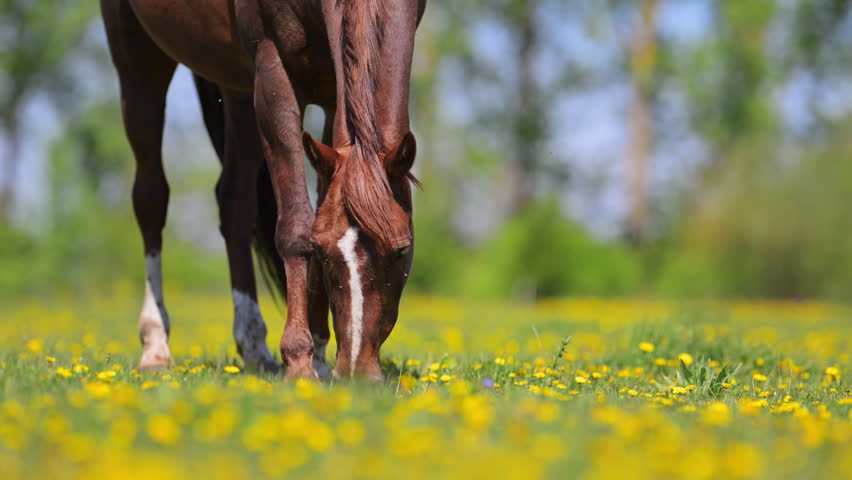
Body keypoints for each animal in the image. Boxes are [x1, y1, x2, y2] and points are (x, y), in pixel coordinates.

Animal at [100, 0, 426, 380]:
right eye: (323, 252)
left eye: (402, 250)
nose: (356, 372)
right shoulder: (273, 72)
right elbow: (296, 227)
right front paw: (299, 362)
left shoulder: (332, 93)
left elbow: (316, 207)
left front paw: (318, 357)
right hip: (138, 60)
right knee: (151, 199)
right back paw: (155, 347)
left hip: (238, 87)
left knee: (233, 202)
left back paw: (255, 347)